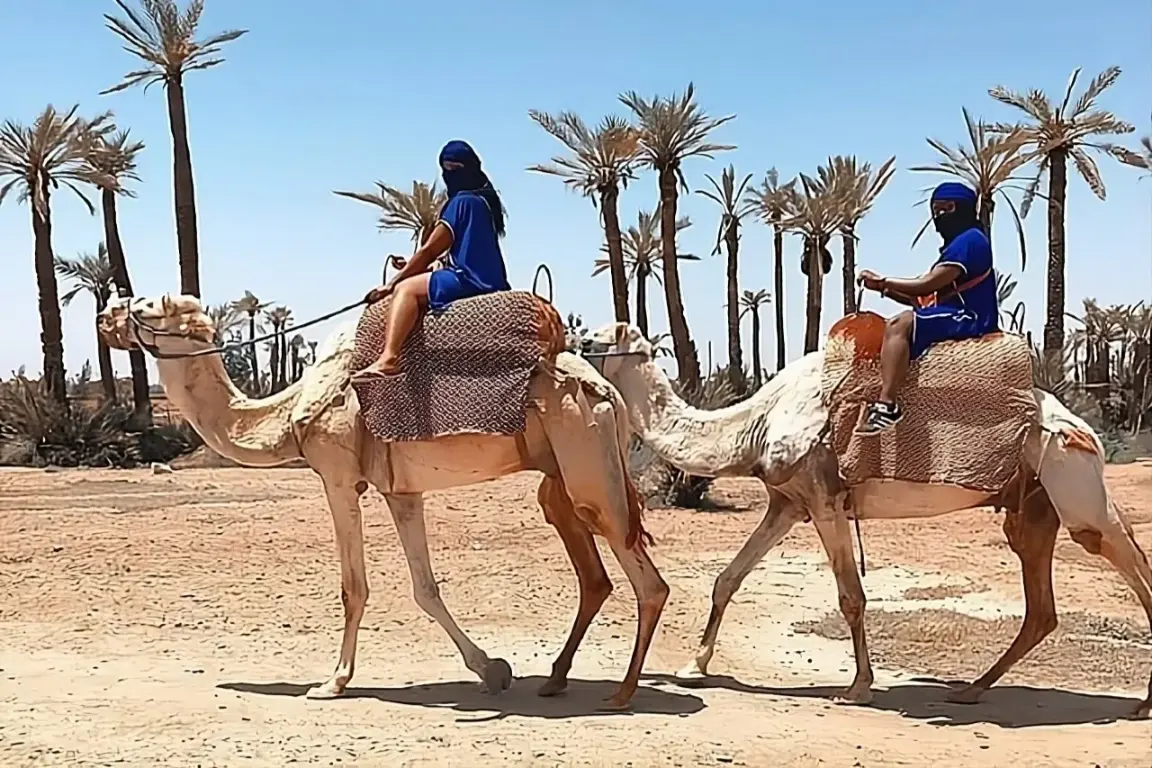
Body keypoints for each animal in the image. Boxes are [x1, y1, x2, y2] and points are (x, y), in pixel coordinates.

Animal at [96, 293, 669, 710]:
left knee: (647, 580)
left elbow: (353, 588)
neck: (288, 411)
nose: (104, 315)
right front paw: (492, 671)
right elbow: (425, 588)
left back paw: (623, 693)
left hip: (587, 462)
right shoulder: (402, 490)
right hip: (561, 477)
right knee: (594, 573)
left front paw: (332, 682)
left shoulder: (338, 479)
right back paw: (556, 680)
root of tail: (607, 392)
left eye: (145, 306)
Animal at [584, 322, 1152, 718]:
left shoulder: (824, 500)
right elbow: (727, 578)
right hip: (1033, 508)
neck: (756, 422)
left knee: (1125, 555)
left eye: (592, 340)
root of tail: (1083, 429)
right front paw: (692, 667)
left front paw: (858, 686)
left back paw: (1140, 703)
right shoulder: (786, 503)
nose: (573, 344)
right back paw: (972, 689)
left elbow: (850, 596)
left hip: (1072, 484)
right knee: (1043, 607)